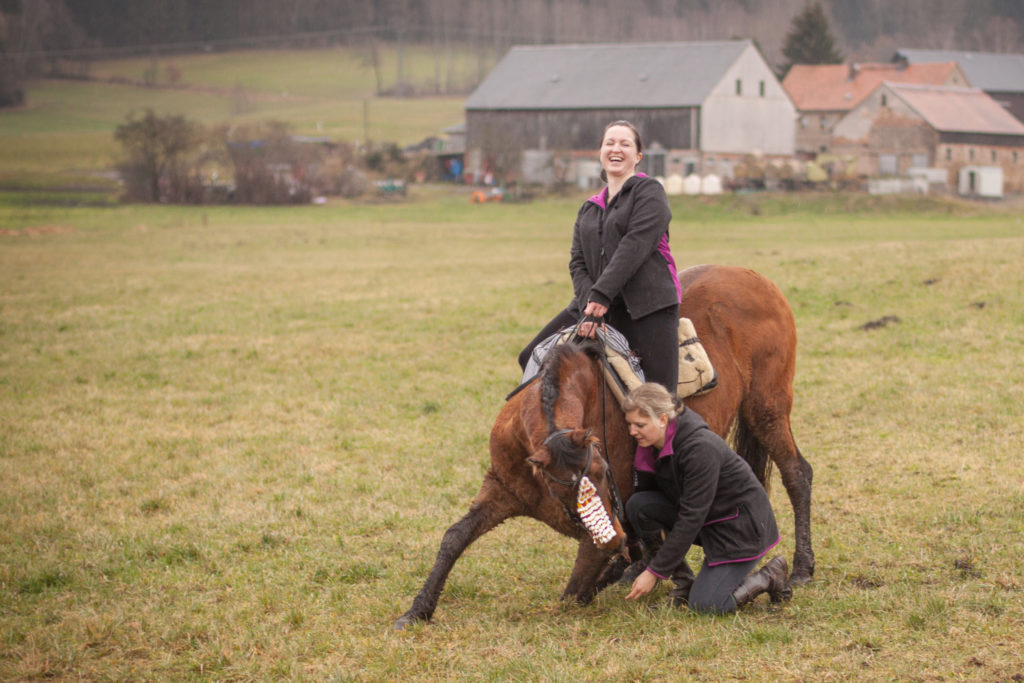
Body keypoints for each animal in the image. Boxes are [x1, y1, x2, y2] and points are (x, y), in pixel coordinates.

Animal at [393, 264, 815, 626]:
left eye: (600, 471)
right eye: (567, 485)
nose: (613, 540)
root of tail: (753, 277)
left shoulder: (602, 529)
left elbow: (578, 588)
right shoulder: (501, 489)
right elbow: (455, 537)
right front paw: (417, 611)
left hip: (766, 407)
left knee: (797, 473)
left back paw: (800, 568)